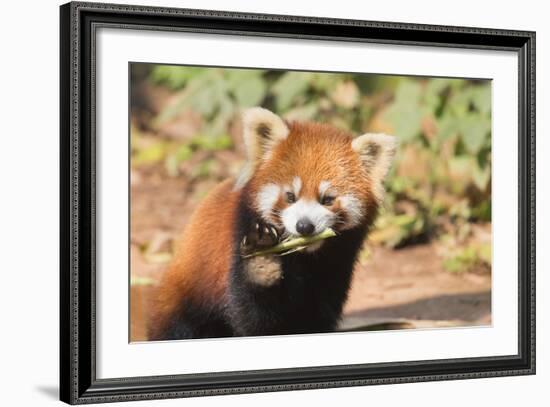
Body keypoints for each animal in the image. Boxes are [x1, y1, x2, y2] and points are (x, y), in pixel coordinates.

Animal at [148, 107, 396, 340]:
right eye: (290, 196)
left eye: (327, 199)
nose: (304, 226)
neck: (304, 259)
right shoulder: (239, 238)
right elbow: (254, 317)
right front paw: (262, 264)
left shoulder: (337, 264)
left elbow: (318, 313)